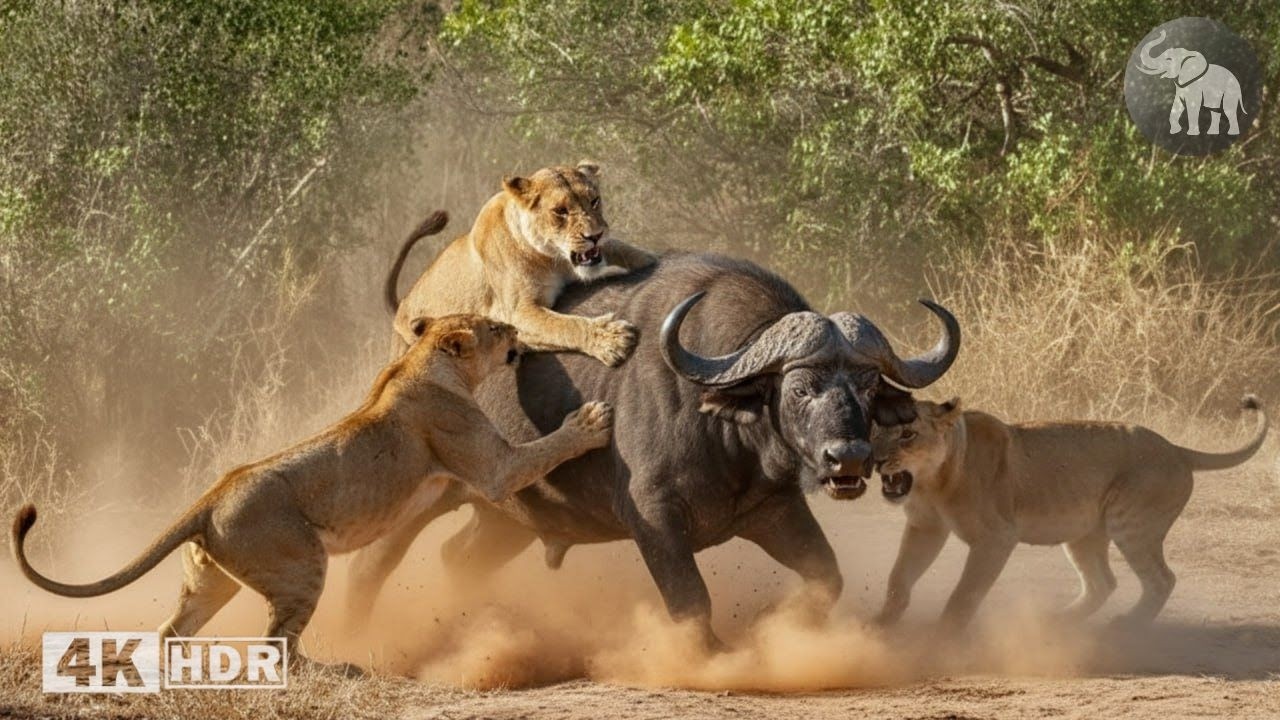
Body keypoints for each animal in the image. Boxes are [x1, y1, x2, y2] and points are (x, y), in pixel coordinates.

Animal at [10, 314, 614, 673]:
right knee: (275, 647)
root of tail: (209, 497)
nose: (514, 330)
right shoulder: (490, 466)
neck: (419, 362)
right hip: (302, 565)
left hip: (210, 582)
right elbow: (539, 452)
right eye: (493, 328)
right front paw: (589, 423)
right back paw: (337, 667)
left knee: (171, 630)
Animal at [385, 161, 656, 365]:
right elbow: (563, 325)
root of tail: (402, 305)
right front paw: (612, 339)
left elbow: (626, 250)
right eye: (560, 211)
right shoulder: (513, 314)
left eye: (594, 200)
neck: (554, 260)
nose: (595, 235)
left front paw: (652, 259)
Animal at [870, 395, 1267, 630]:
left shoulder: (997, 538)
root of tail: (1176, 449)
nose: (874, 459)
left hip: (1131, 524)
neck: (933, 481)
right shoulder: (925, 527)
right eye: (873, 429)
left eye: (907, 434)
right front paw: (879, 627)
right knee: (1103, 584)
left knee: (1162, 579)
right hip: (1084, 534)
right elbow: (898, 579)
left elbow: (963, 595)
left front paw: (940, 642)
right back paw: (1054, 623)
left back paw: (1124, 626)